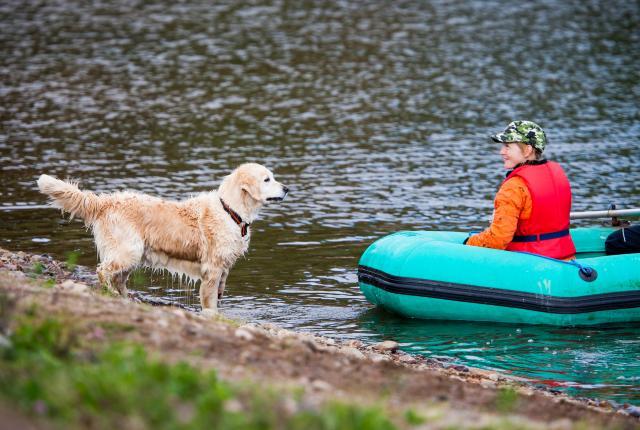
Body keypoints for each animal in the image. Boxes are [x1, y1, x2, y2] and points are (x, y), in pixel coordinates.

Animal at [38, 163, 288, 314]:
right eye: (267, 179)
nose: (286, 188)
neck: (230, 210)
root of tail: (105, 201)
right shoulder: (212, 269)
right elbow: (209, 300)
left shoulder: (224, 269)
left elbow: (220, 292)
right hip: (128, 250)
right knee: (103, 271)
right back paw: (111, 294)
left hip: (133, 255)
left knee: (118, 278)